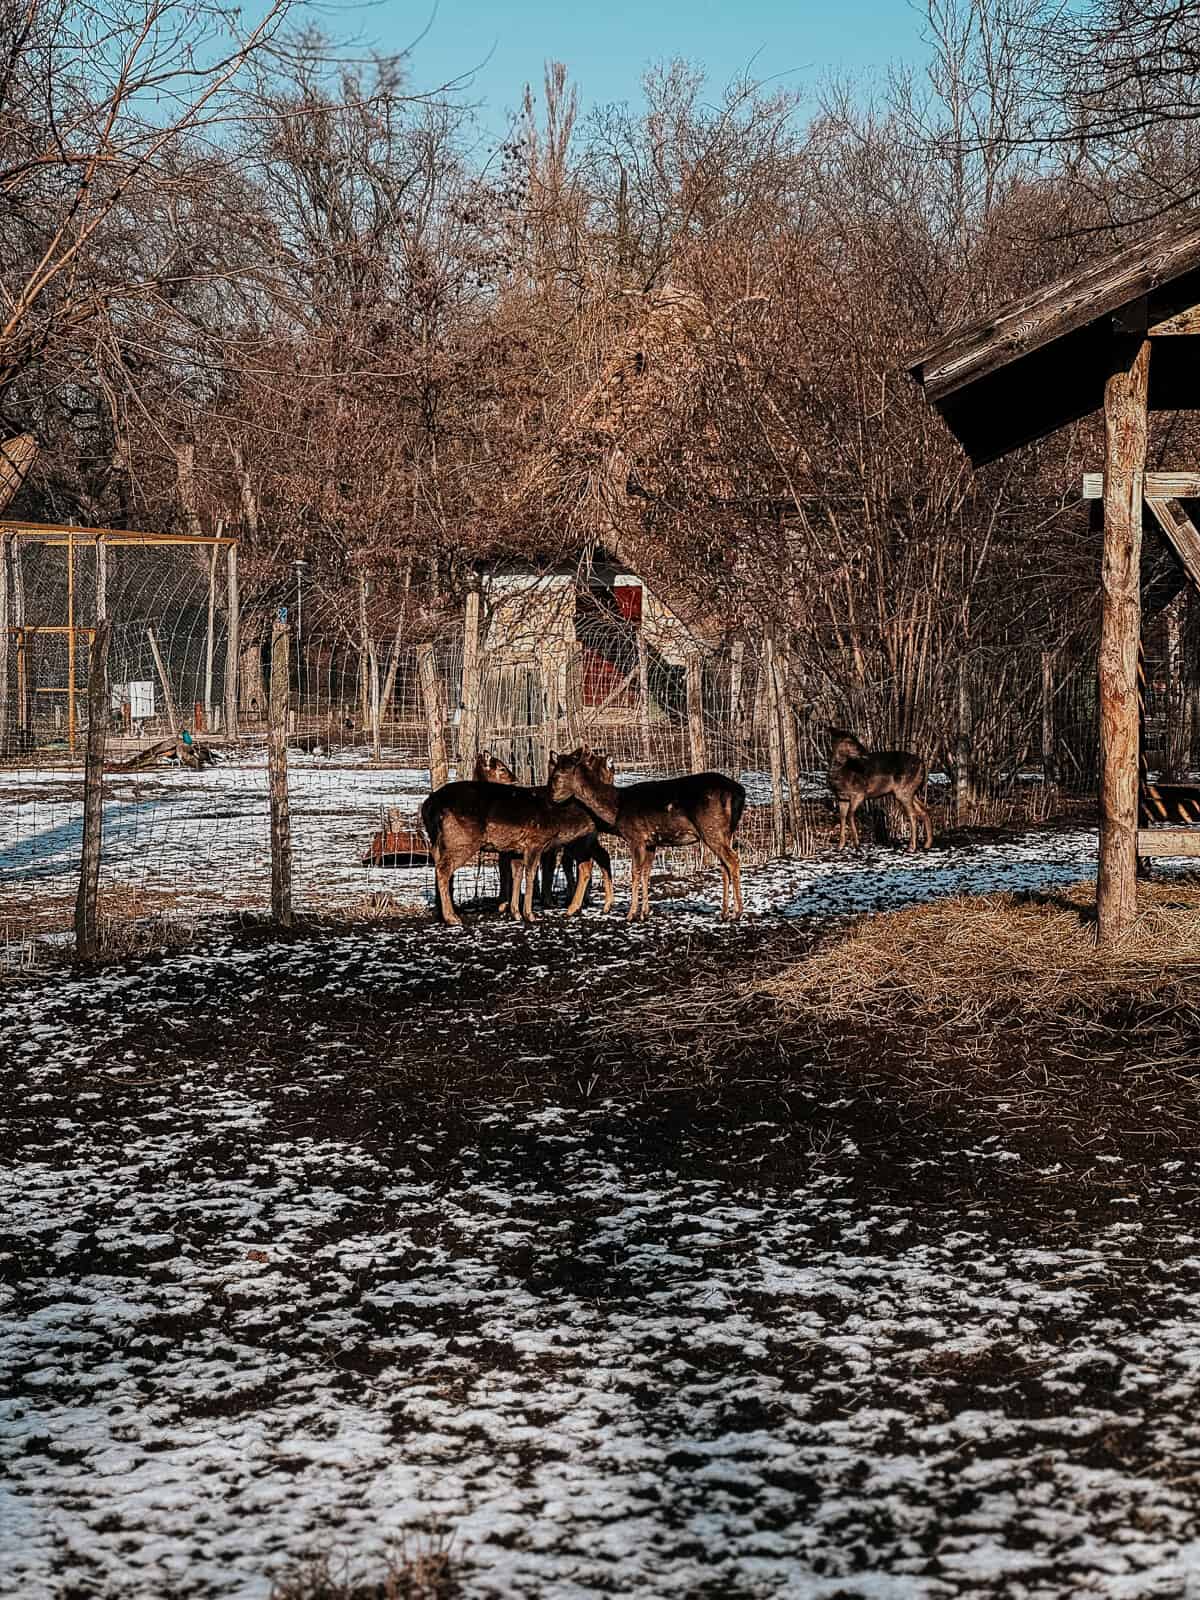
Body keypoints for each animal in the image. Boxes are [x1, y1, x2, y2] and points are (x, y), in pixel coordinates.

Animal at [473, 745, 614, 915]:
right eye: (501, 768)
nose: (515, 780)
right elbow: (509, 870)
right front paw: (506, 904)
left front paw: (508, 905)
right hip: (586, 840)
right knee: (598, 857)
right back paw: (595, 903)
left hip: (578, 840)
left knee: (584, 862)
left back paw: (575, 904)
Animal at [550, 748, 748, 928]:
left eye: (557, 775)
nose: (552, 798)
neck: (617, 807)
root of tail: (739, 793)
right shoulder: (651, 841)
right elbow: (646, 873)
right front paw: (644, 913)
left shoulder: (635, 836)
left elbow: (635, 872)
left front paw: (631, 914)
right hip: (726, 832)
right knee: (724, 865)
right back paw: (724, 913)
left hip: (711, 828)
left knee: (733, 860)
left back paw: (737, 913)